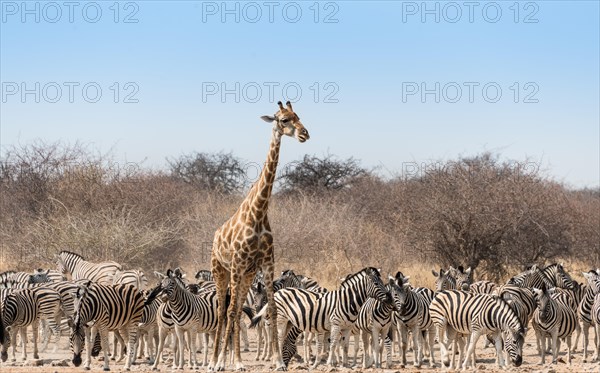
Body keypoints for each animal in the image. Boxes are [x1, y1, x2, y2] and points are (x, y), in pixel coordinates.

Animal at [210, 100, 310, 370]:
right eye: (284, 120)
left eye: (299, 116)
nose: (305, 134)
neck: (258, 212)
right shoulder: (237, 263)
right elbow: (230, 312)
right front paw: (224, 362)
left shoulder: (266, 262)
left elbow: (272, 310)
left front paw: (278, 361)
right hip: (221, 270)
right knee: (224, 312)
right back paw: (216, 361)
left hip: (246, 274)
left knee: (235, 311)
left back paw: (235, 360)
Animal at [254, 266, 392, 368]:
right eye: (376, 283)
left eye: (382, 282)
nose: (390, 298)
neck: (347, 301)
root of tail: (279, 292)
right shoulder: (335, 324)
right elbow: (333, 344)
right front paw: (330, 363)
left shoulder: (347, 327)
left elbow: (345, 346)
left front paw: (345, 365)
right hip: (281, 320)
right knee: (278, 339)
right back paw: (278, 362)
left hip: (288, 322)